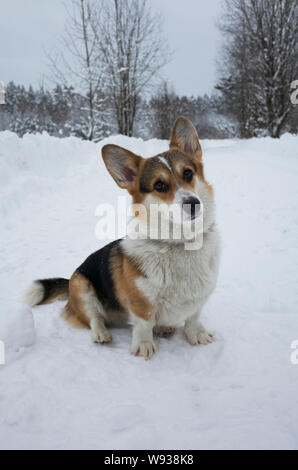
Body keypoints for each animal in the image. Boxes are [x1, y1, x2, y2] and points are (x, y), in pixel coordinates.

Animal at [25, 117, 220, 360]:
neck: (180, 242)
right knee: (94, 318)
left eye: (187, 173)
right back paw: (101, 334)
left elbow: (193, 318)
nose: (193, 203)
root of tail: (69, 282)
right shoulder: (141, 302)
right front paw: (144, 345)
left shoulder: (199, 298)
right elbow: (144, 322)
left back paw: (164, 327)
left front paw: (197, 335)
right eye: (159, 185)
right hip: (83, 288)